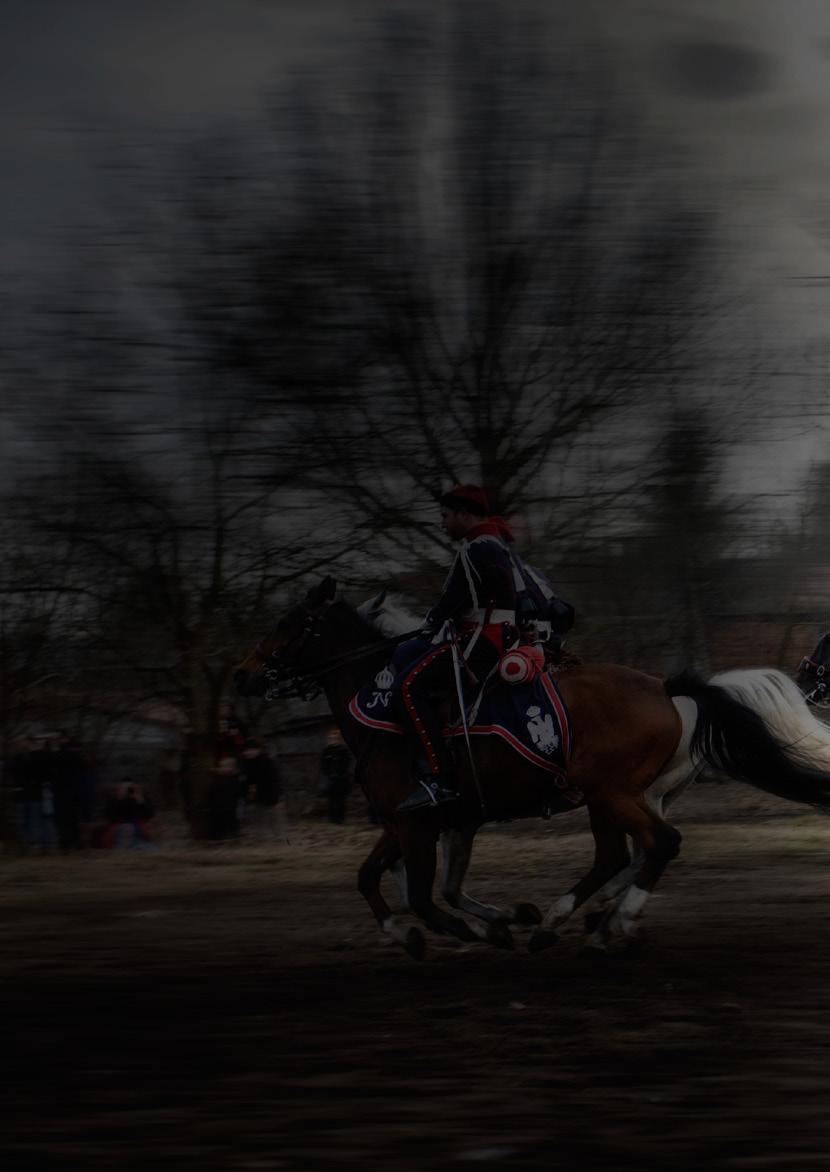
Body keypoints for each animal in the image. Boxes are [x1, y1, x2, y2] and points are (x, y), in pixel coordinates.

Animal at [235, 571, 830, 956]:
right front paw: (425, 931)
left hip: (609, 793)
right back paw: (574, 920)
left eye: (288, 622)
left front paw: (480, 931)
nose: (245, 675)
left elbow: (424, 896)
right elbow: (376, 881)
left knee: (656, 845)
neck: (384, 706)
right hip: (611, 797)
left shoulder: (419, 825)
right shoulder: (412, 822)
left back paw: (603, 919)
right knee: (621, 856)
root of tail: (669, 689)